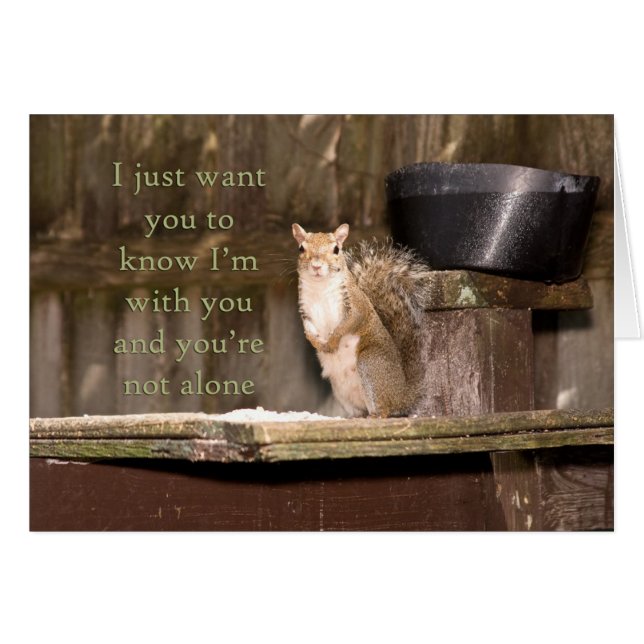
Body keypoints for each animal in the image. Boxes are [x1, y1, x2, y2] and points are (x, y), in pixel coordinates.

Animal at [292, 222, 433, 418]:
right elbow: (308, 330)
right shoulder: (305, 311)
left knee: (384, 410)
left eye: (336, 249)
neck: (320, 287)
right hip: (341, 391)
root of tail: (402, 395)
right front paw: (317, 343)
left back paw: (374, 416)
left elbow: (346, 325)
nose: (316, 266)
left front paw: (332, 342)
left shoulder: (355, 307)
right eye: (301, 248)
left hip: (370, 363)